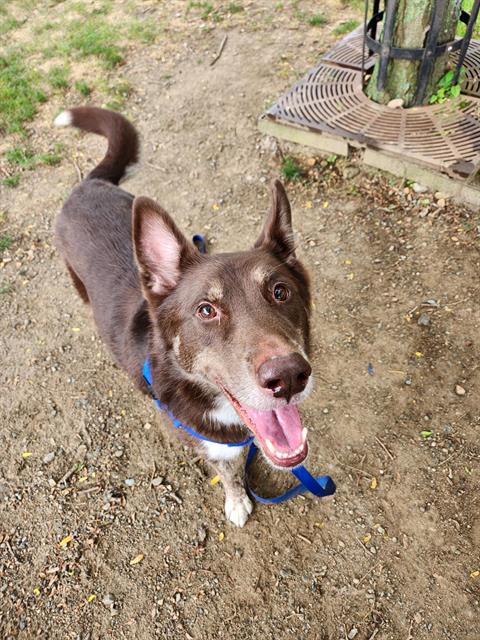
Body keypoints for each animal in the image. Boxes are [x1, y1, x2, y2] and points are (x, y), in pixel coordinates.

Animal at [54, 106, 314, 524]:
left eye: (280, 292)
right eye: (206, 310)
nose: (289, 377)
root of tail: (88, 183)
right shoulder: (205, 441)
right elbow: (228, 470)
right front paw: (236, 500)